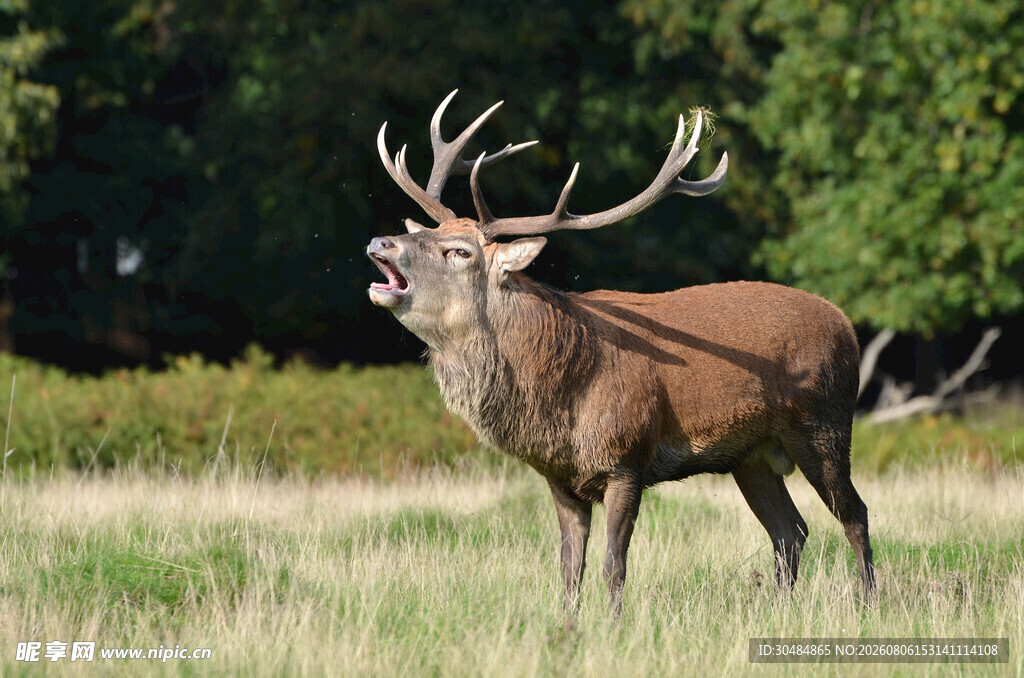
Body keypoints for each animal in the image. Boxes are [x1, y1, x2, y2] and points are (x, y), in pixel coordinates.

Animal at [367, 90, 876, 616]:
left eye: (460, 252)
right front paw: (567, 624)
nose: (381, 239)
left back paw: (868, 603)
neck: (560, 399)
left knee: (854, 514)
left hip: (824, 426)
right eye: (424, 232)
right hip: (751, 456)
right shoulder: (560, 476)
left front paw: (613, 623)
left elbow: (615, 566)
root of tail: (846, 325)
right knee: (790, 531)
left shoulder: (627, 458)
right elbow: (569, 569)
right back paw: (779, 609)